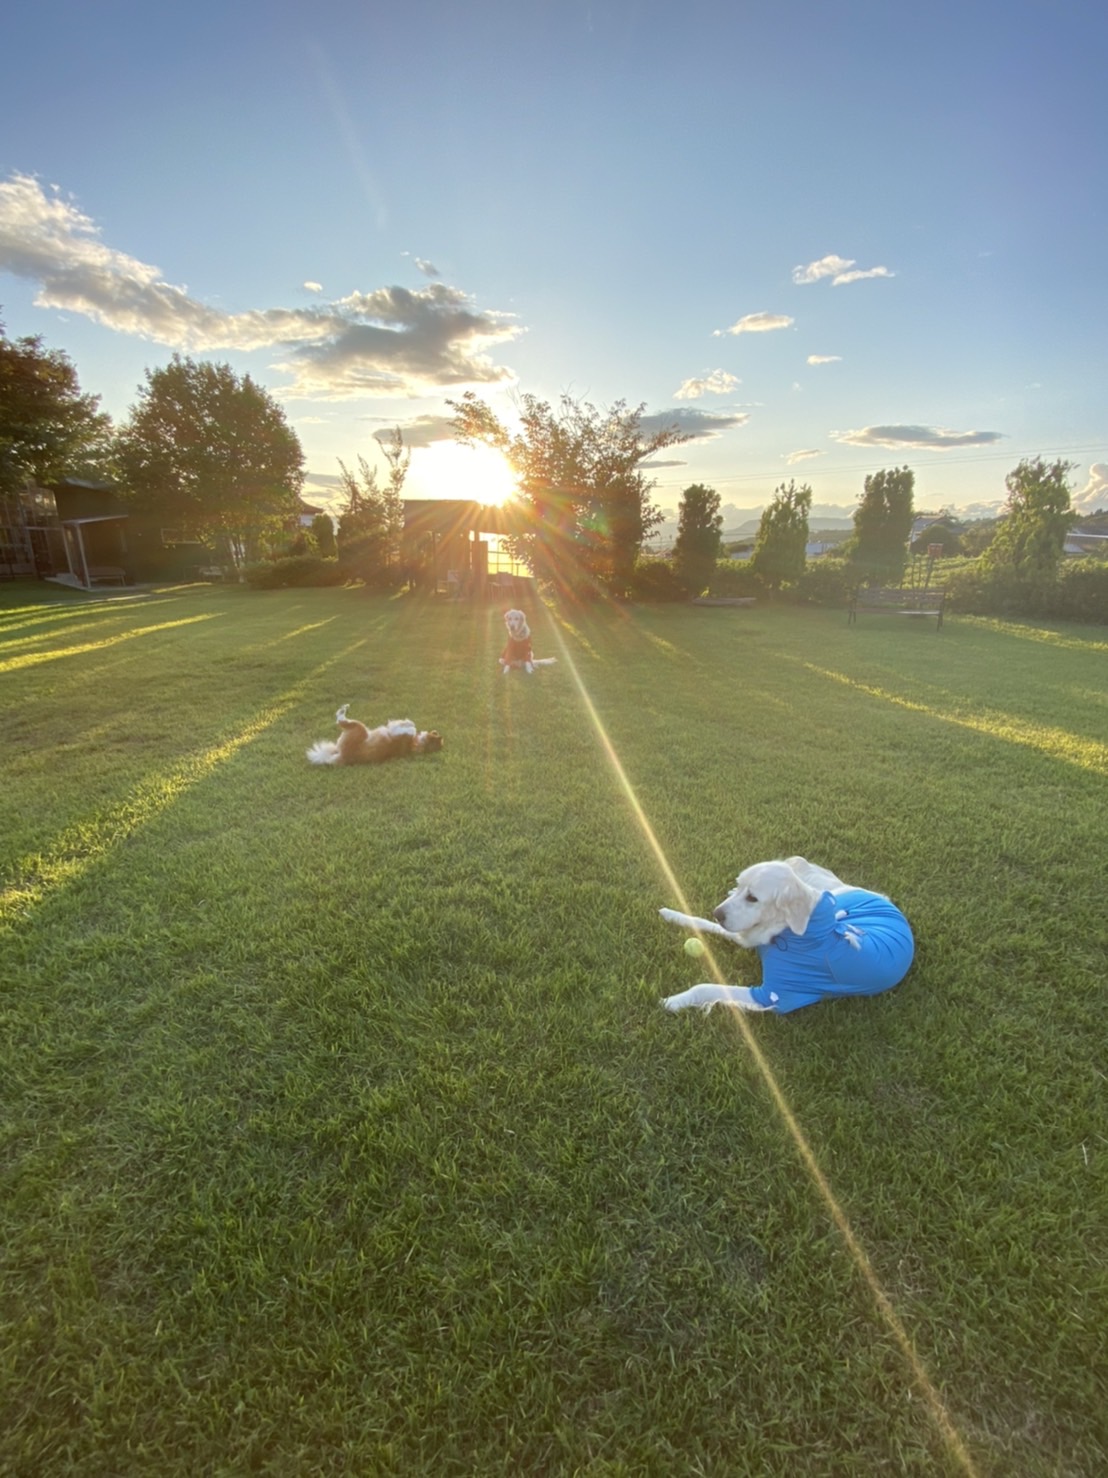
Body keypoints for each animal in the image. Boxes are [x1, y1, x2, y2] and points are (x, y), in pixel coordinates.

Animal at [305, 706, 446, 768]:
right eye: (434, 734)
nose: (437, 733)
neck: (415, 743)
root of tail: (344, 757)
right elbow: (411, 723)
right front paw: (407, 722)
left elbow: (411, 728)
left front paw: (409, 727)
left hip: (359, 728)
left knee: (341, 721)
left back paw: (343, 710)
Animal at [664, 857, 915, 1016]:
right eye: (740, 885)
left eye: (753, 898)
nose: (717, 913)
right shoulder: (750, 935)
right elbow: (705, 923)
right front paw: (671, 914)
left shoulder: (773, 995)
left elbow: (706, 987)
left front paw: (673, 1001)